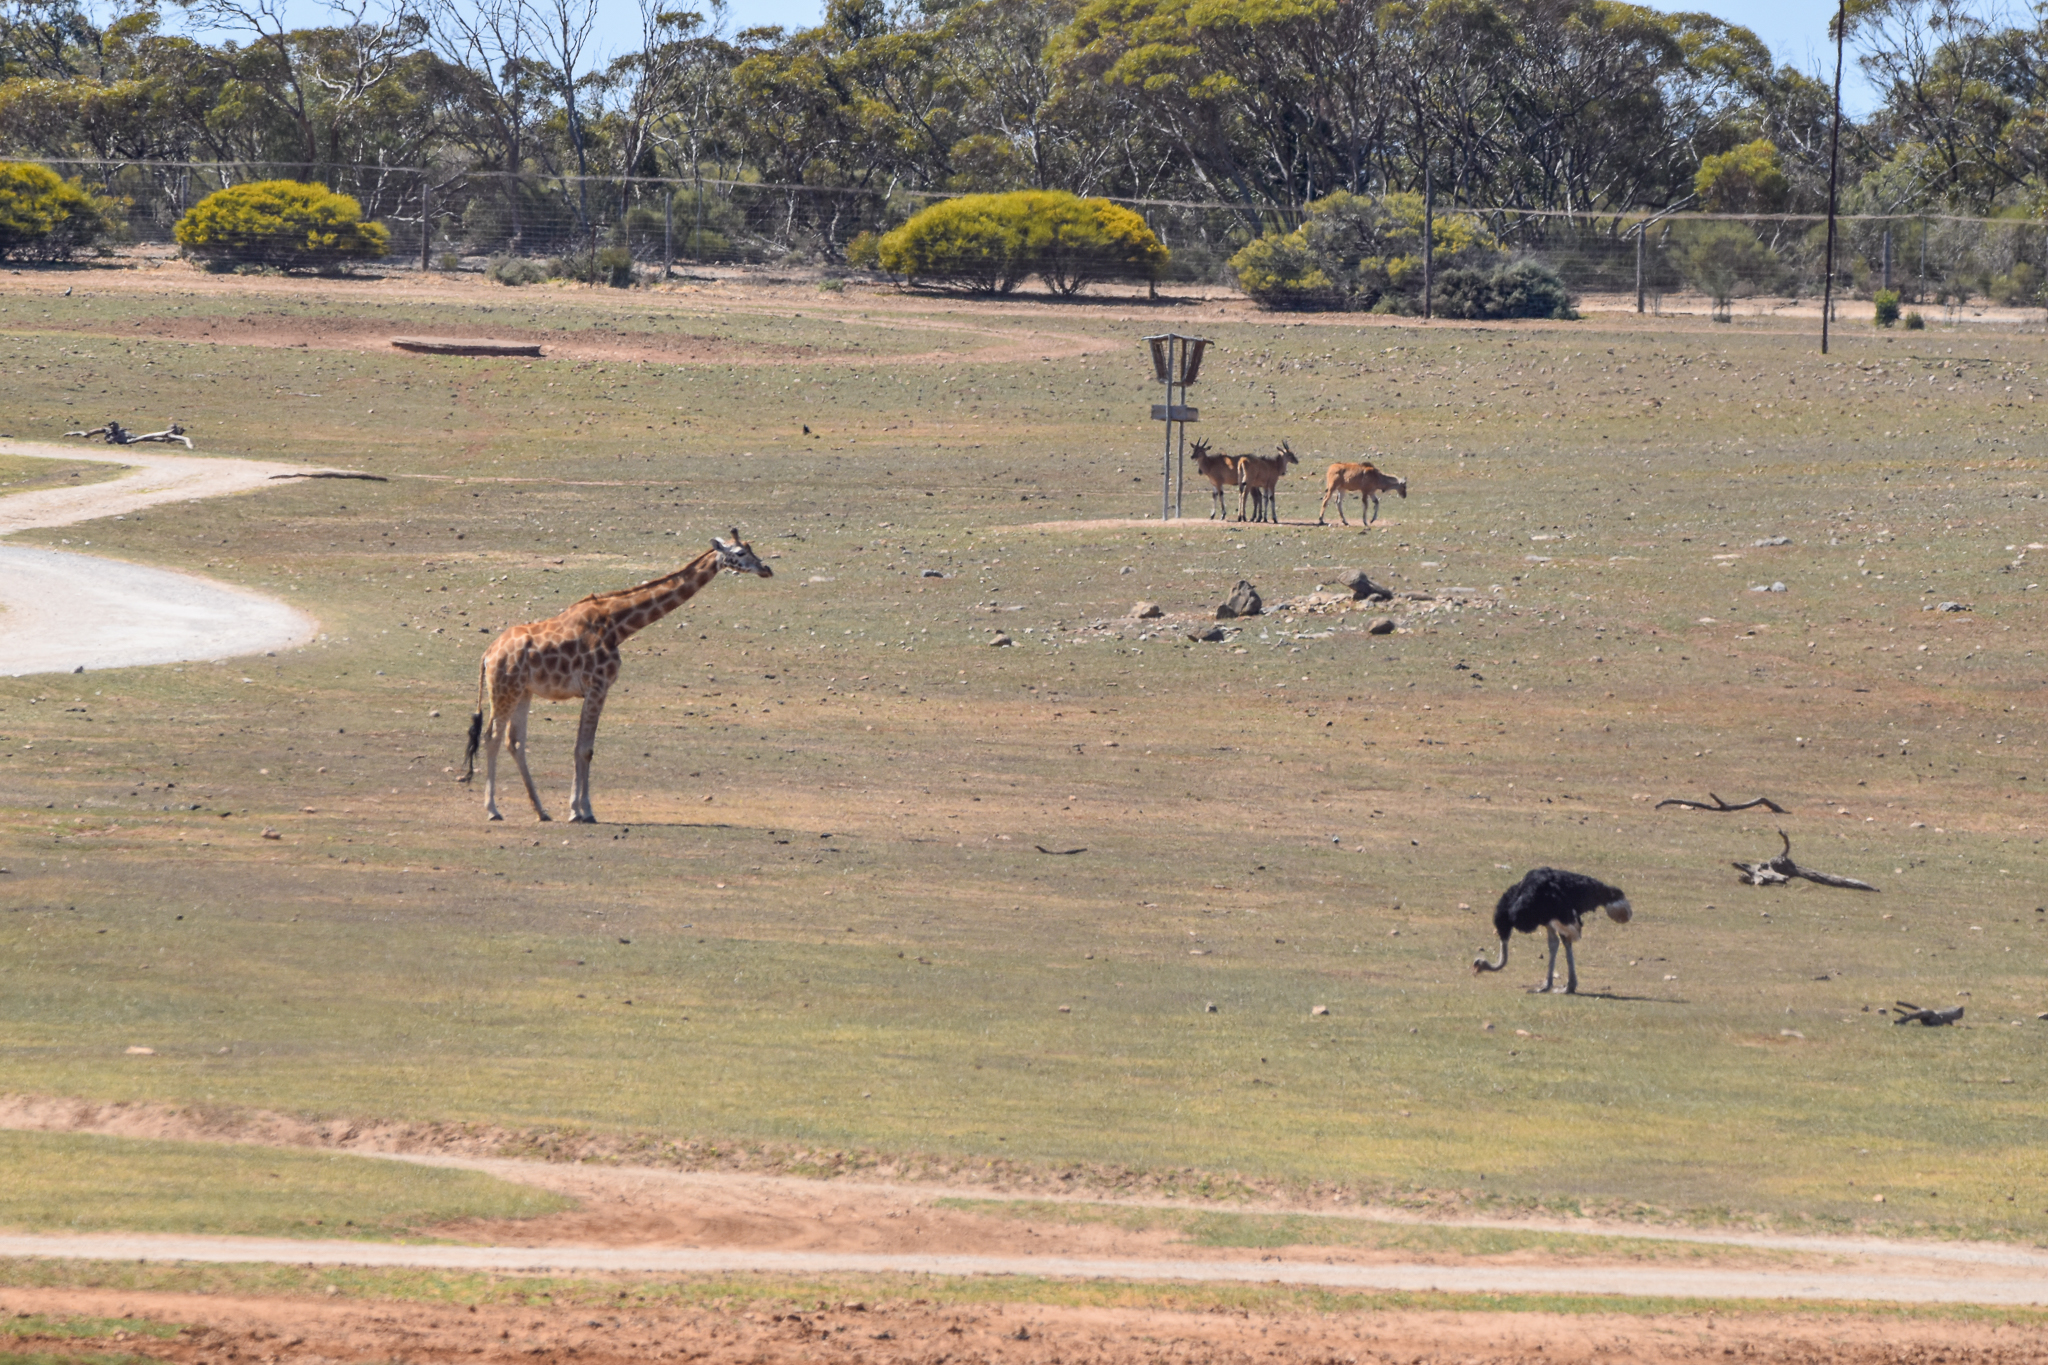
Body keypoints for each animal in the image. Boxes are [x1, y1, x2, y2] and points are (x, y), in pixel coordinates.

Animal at [460, 531, 772, 823]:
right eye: (741, 552)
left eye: (752, 548)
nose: (766, 569)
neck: (618, 625)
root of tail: (487, 655)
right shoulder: (598, 686)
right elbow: (584, 749)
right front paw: (582, 811)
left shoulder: (594, 689)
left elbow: (582, 747)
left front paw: (576, 809)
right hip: (504, 689)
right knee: (492, 736)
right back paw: (493, 810)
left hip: (523, 691)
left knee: (515, 742)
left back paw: (541, 810)